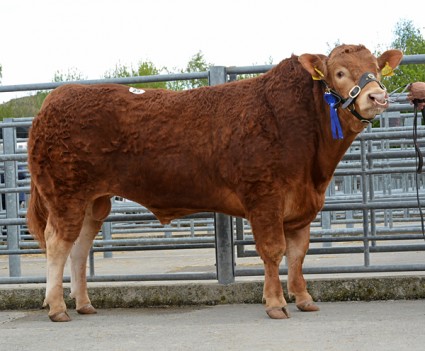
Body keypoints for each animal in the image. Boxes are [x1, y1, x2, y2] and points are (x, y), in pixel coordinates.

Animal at [25, 44, 400, 322]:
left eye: (377, 69)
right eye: (339, 72)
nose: (377, 97)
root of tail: (55, 99)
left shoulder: (302, 205)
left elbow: (297, 254)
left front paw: (304, 298)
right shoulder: (264, 197)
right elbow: (273, 250)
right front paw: (276, 304)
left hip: (94, 202)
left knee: (79, 248)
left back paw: (84, 304)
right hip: (66, 194)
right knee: (57, 244)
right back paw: (57, 308)